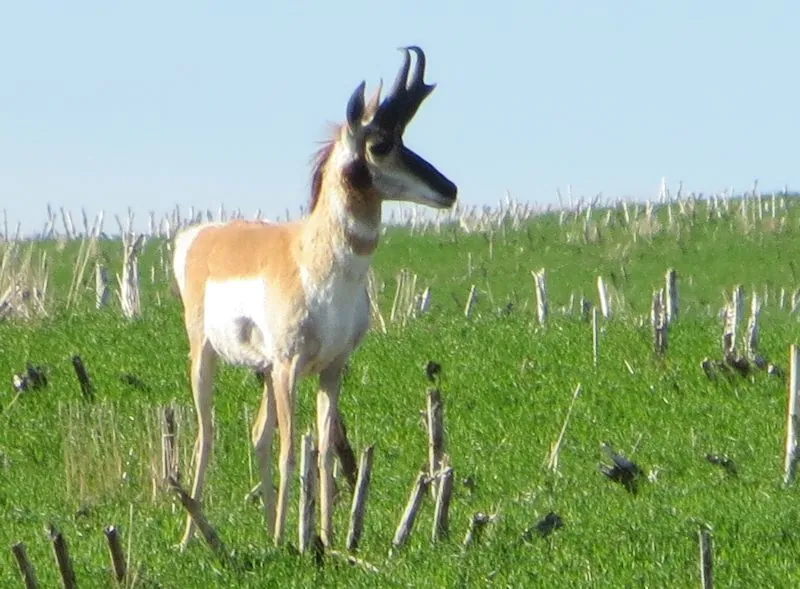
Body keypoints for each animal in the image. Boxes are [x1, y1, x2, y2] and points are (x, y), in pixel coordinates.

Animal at [172, 46, 457, 550]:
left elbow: (322, 451)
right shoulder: (290, 367)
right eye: (380, 143)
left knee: (258, 434)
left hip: (264, 371)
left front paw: (324, 536)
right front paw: (292, 540)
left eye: (404, 137)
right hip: (207, 355)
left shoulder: (331, 367)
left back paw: (268, 525)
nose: (450, 189)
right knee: (208, 434)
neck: (314, 256)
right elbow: (291, 450)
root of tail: (202, 235)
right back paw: (193, 536)